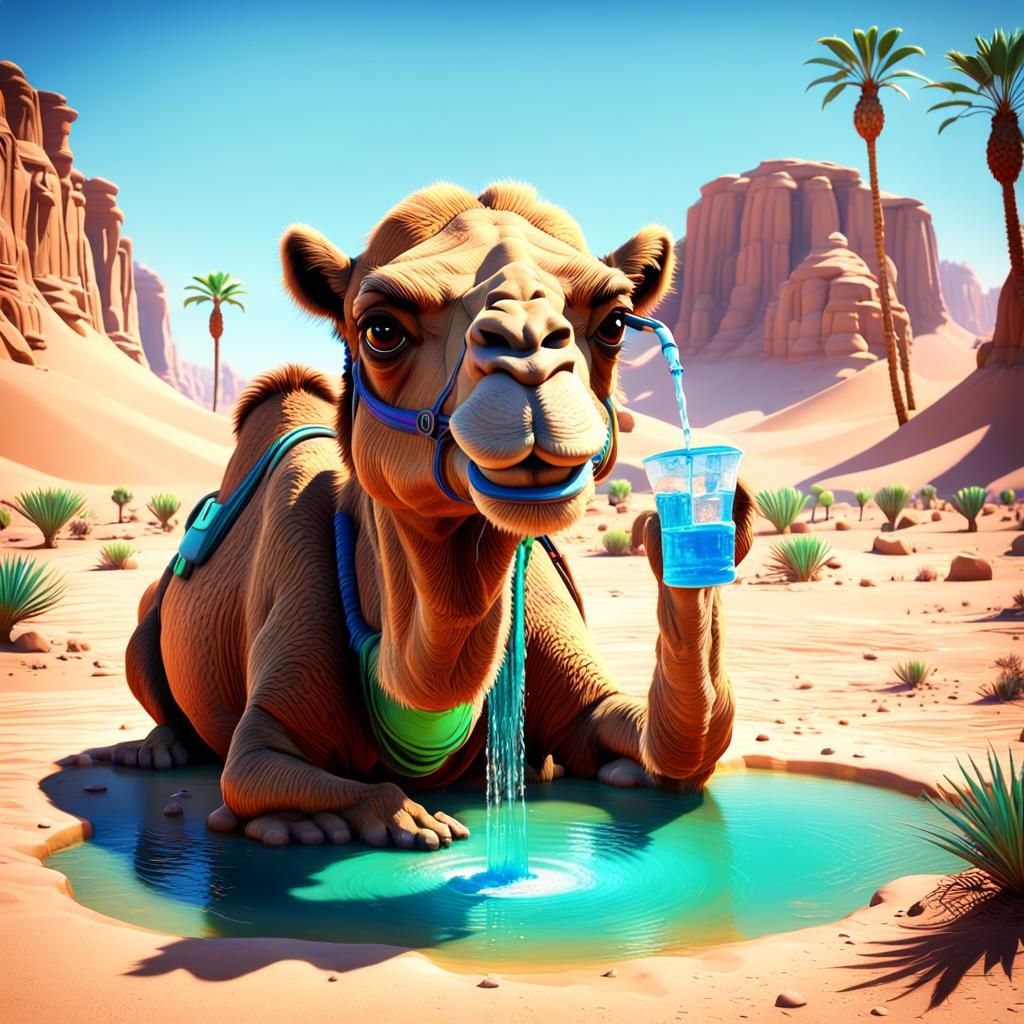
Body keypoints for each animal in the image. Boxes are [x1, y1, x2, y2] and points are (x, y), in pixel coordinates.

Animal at [81, 183, 754, 850]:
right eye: (381, 329)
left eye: (614, 322)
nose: (530, 363)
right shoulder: (265, 723)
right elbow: (256, 773)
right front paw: (396, 820)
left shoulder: (583, 690)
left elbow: (667, 743)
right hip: (150, 621)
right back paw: (158, 750)